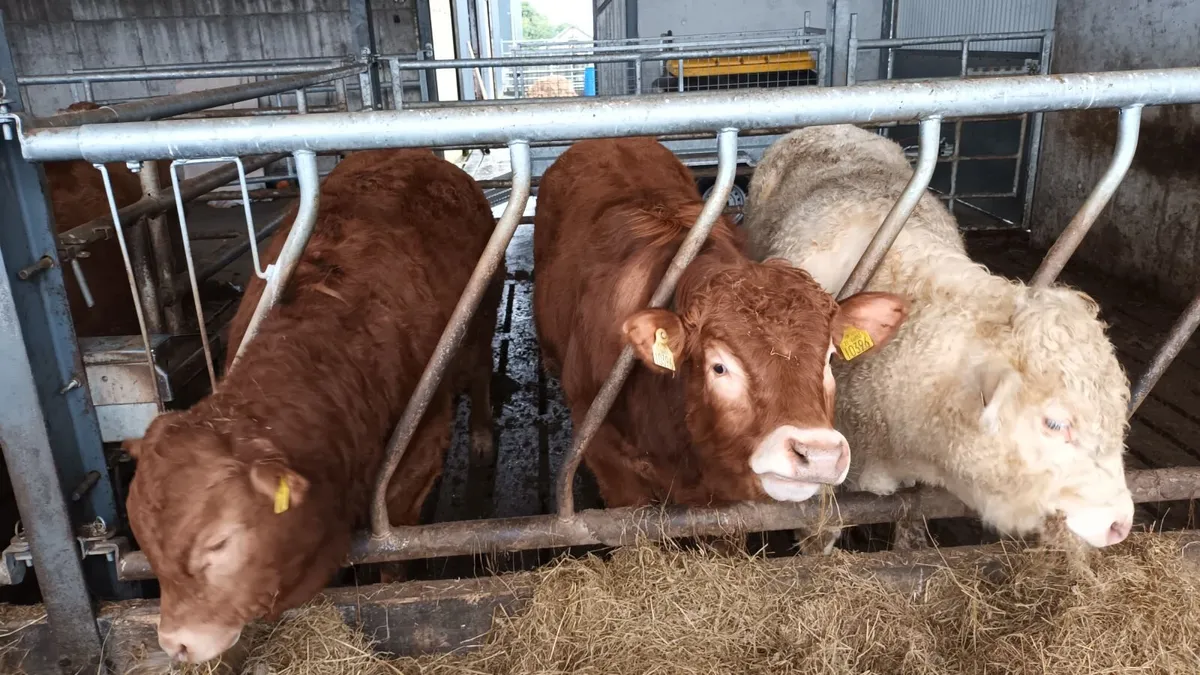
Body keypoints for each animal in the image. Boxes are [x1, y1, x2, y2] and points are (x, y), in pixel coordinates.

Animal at [124, 148, 499, 664]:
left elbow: (393, 547)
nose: (176, 642)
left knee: (480, 374)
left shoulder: (419, 450)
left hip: (480, 321)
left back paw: (482, 436)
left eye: (219, 543)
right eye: (144, 543)